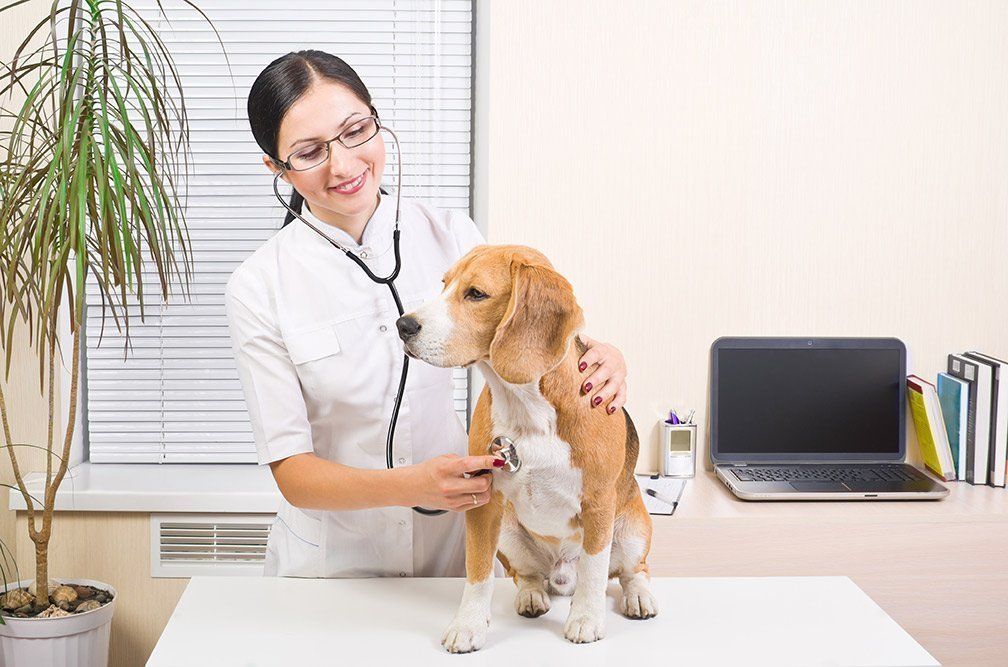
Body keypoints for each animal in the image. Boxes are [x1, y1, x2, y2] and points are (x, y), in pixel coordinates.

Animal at [397, 244, 657, 652]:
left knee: (632, 571)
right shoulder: (483, 503)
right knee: (528, 576)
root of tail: (561, 575)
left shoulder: (599, 503)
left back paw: (639, 597)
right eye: (444, 284)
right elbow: (478, 573)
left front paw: (586, 619)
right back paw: (532, 596)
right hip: (508, 533)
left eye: (476, 294)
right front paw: (468, 625)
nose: (403, 325)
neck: (526, 406)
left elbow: (595, 570)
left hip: (633, 529)